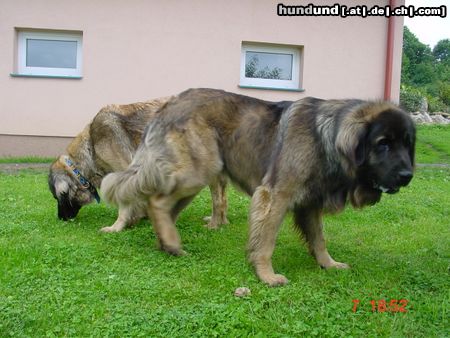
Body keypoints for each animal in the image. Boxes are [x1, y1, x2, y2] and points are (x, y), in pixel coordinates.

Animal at [49, 96, 229, 231]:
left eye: (57, 198)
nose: (60, 218)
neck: (91, 146)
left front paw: (117, 227)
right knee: (223, 197)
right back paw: (222, 221)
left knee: (217, 199)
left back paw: (214, 224)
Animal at [101, 89, 414, 286]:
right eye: (383, 143)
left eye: (407, 143)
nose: (407, 175)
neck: (325, 137)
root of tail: (169, 103)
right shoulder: (275, 195)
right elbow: (265, 241)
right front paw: (266, 276)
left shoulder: (310, 204)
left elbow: (319, 240)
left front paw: (329, 264)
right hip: (199, 170)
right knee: (156, 201)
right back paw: (171, 242)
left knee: (162, 206)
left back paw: (168, 243)